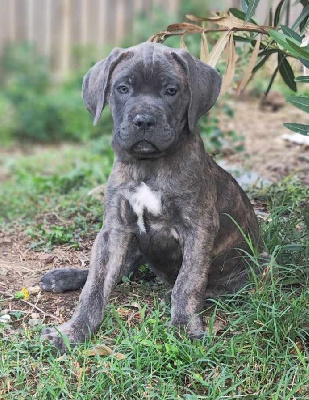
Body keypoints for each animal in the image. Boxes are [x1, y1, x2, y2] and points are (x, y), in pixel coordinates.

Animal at [40, 41, 262, 354]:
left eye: (171, 90)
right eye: (122, 88)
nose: (143, 120)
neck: (148, 166)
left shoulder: (199, 228)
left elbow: (189, 281)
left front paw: (184, 327)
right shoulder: (115, 229)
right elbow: (96, 283)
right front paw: (72, 332)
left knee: (210, 287)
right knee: (119, 270)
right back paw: (63, 277)